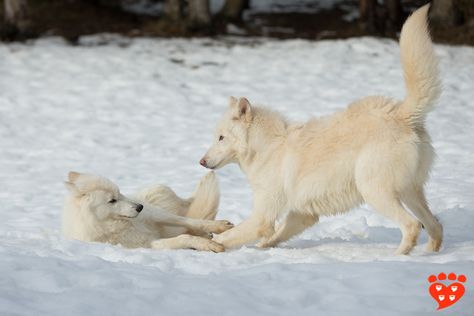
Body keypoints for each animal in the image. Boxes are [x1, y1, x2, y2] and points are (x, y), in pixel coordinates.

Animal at [63, 170, 233, 252]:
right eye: (112, 200)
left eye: (120, 193)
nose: (139, 207)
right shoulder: (148, 245)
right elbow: (184, 238)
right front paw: (209, 245)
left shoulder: (153, 216)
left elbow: (190, 222)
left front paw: (219, 229)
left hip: (156, 201)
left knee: (187, 216)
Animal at [201, 4, 444, 256]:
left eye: (220, 138)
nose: (201, 161)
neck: (266, 148)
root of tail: (401, 114)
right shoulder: (303, 213)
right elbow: (274, 236)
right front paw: (262, 248)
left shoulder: (263, 215)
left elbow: (230, 235)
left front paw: (206, 244)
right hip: (409, 193)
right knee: (435, 226)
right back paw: (429, 254)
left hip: (376, 192)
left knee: (412, 225)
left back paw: (397, 257)